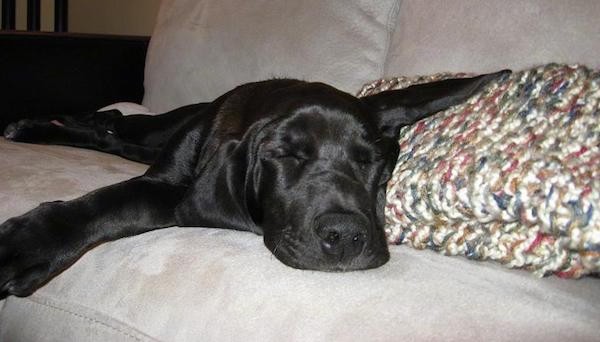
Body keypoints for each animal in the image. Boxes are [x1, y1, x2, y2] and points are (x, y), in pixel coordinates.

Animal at [0, 72, 508, 296]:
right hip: (161, 130)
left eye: (370, 161)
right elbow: (114, 199)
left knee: (115, 135)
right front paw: (29, 243)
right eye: (285, 156)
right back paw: (43, 125)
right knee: (119, 128)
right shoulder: (166, 184)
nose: (346, 237)